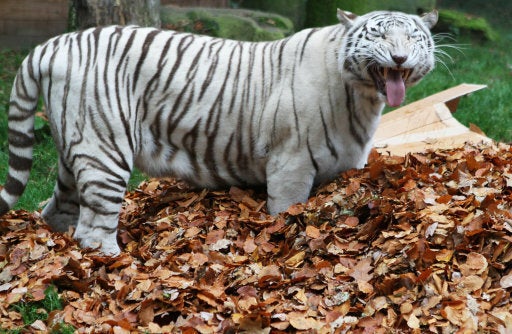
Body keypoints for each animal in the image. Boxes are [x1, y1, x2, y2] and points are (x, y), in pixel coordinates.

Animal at [2, 8, 438, 253]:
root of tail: (51, 45)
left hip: (75, 148)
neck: (362, 98)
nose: (399, 57)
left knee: (57, 209)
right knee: (93, 227)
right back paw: (110, 258)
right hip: (104, 149)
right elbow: (287, 212)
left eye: (412, 37)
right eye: (379, 34)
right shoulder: (291, 162)